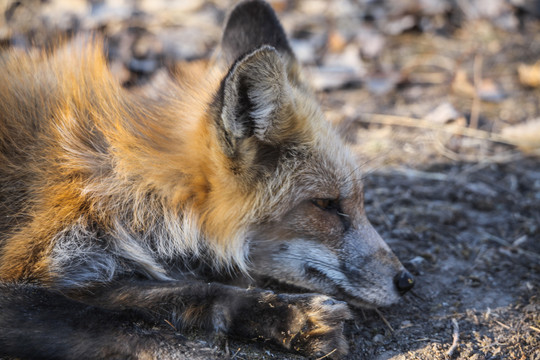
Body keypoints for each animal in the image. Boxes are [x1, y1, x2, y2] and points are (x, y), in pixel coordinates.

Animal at [0, 1, 416, 358]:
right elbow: (105, 322)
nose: (406, 281)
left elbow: (183, 292)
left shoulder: (89, 269)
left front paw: (288, 317)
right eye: (326, 205)